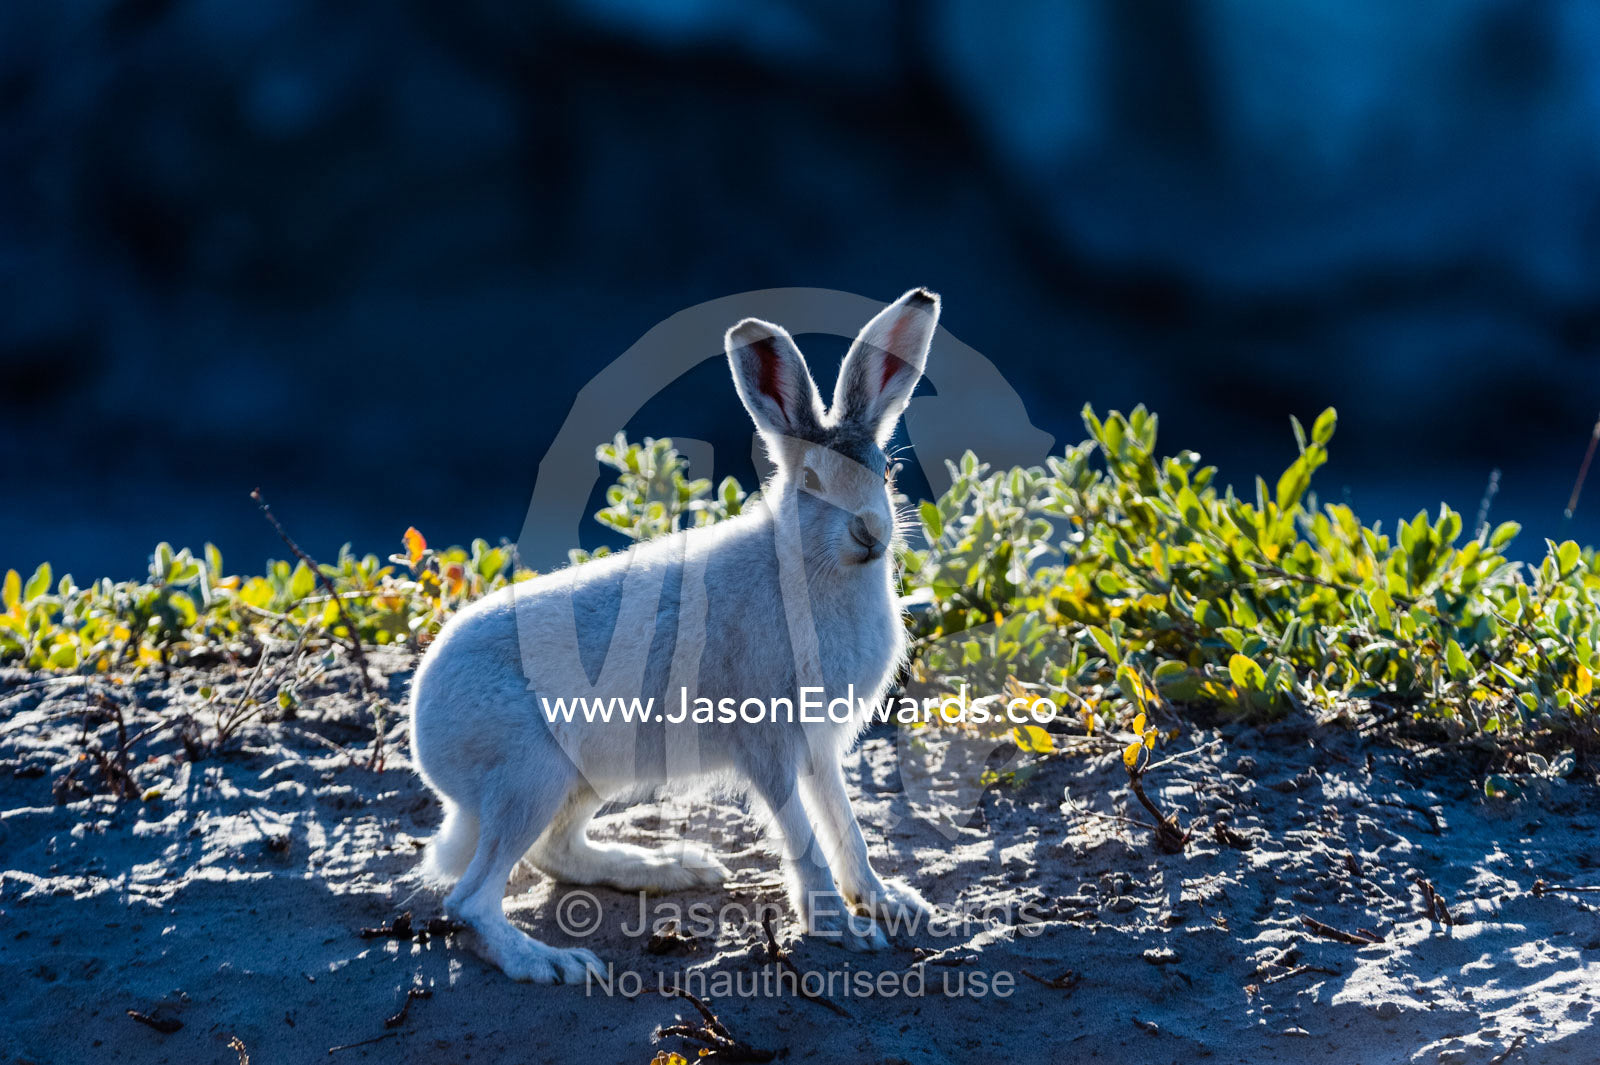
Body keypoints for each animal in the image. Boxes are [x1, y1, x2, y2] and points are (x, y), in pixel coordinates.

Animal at [408, 288, 940, 983]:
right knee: (470, 899)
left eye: (885, 472)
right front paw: (841, 928)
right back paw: (553, 963)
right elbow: (803, 835)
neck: (812, 564)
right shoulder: (767, 743)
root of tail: (424, 733)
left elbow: (844, 824)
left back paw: (670, 869)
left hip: (585, 778)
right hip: (531, 773)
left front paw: (887, 902)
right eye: (810, 484)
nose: (870, 532)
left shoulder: (819, 748)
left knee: (554, 853)